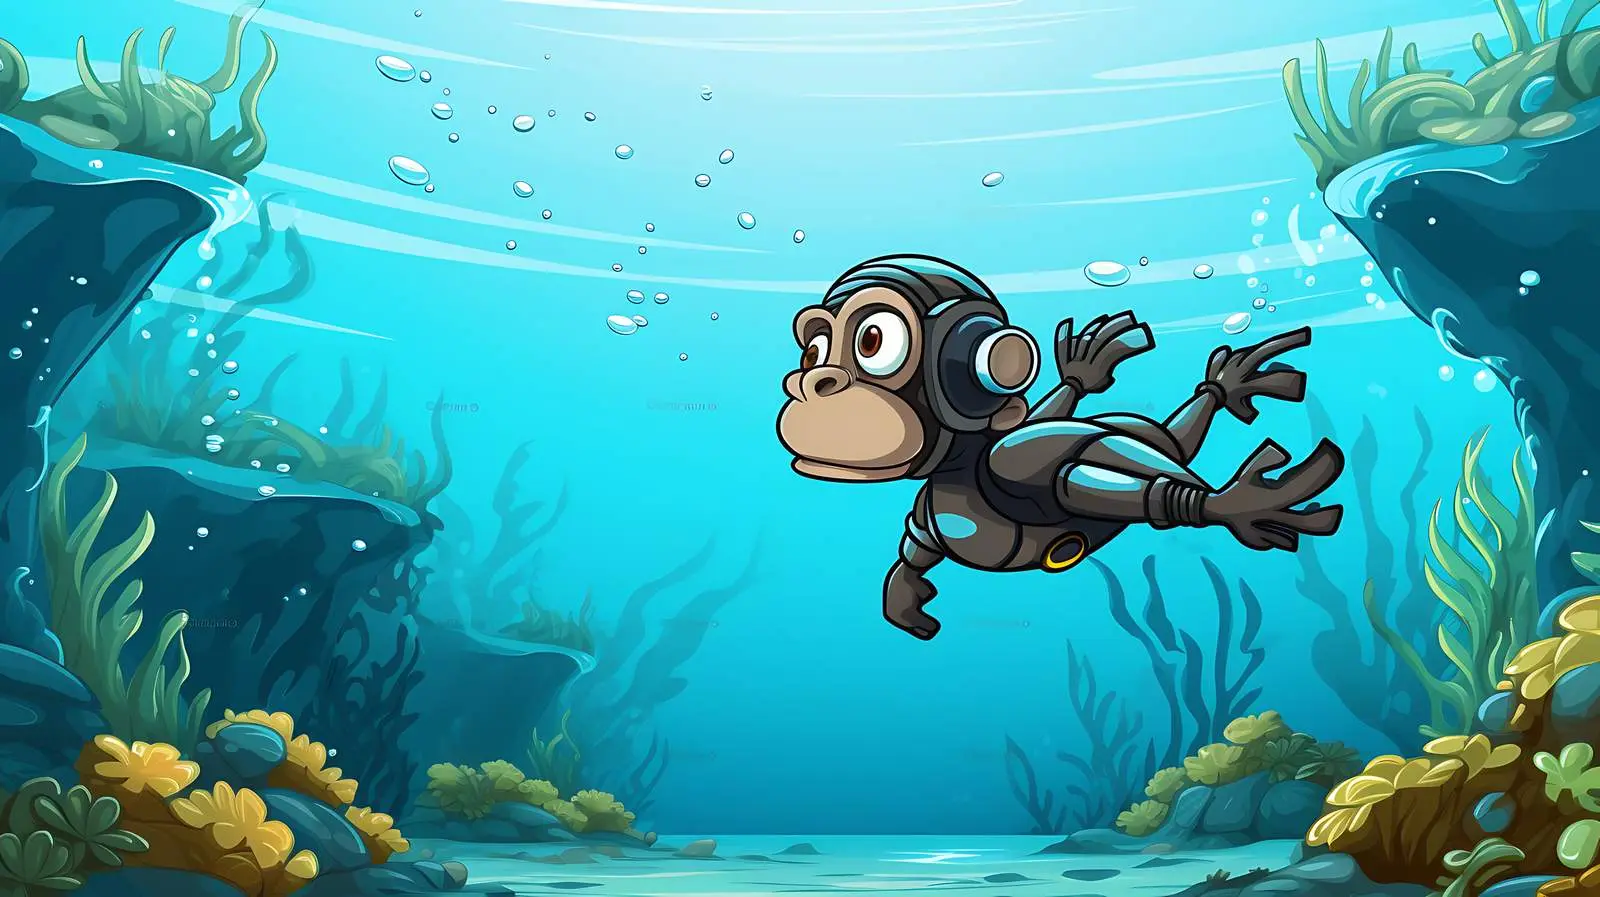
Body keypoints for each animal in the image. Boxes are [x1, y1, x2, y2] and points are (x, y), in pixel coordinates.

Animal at [774, 254, 1346, 641]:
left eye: (874, 341)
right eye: (815, 349)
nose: (812, 383)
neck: (961, 473)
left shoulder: (1019, 456)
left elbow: (1104, 480)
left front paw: (1234, 504)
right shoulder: (929, 508)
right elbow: (918, 541)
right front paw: (904, 598)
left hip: (1133, 436)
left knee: (1165, 444)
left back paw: (1226, 385)